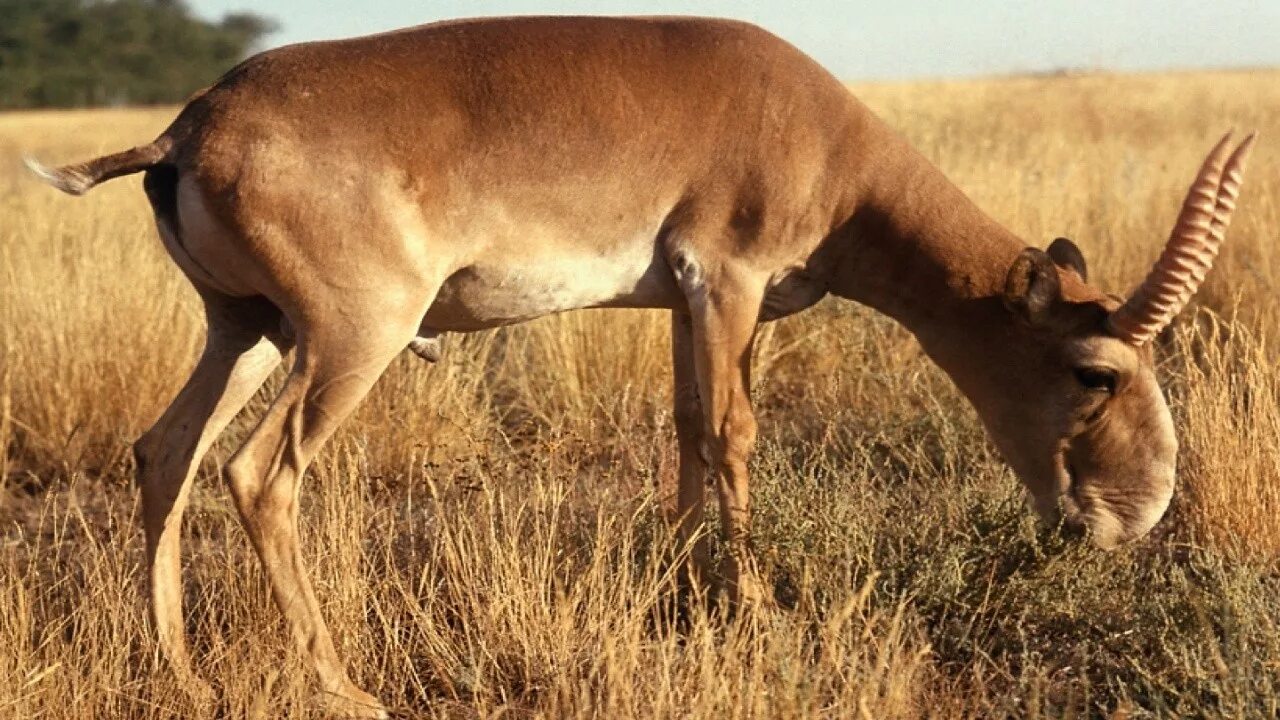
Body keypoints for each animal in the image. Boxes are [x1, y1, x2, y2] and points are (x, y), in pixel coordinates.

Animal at [27, 14, 1259, 712]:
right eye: (1097, 370)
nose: (1132, 514)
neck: (830, 145)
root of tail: (190, 127)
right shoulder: (729, 280)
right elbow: (734, 433)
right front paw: (755, 612)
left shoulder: (687, 304)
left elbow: (684, 429)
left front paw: (678, 594)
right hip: (347, 340)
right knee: (257, 473)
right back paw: (345, 687)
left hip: (246, 331)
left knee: (163, 453)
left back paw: (183, 673)